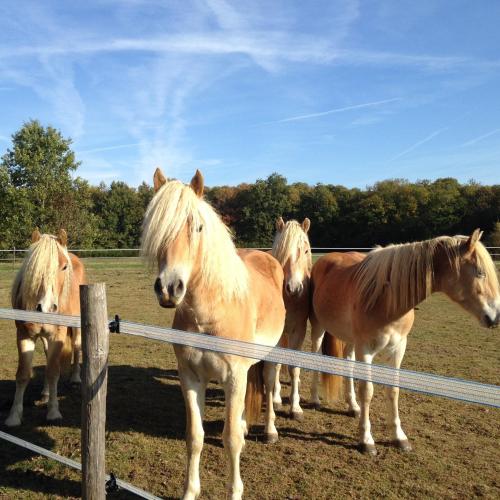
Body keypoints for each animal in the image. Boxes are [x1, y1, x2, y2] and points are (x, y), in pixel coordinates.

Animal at [5, 229, 86, 426]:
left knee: (77, 347)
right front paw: (14, 416)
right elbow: (23, 374)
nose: (47, 307)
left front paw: (53, 412)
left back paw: (75, 378)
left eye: (64, 267)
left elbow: (53, 371)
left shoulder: (57, 336)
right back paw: (46, 392)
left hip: (76, 324)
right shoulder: (24, 335)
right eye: (34, 268)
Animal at [143, 169, 288, 500]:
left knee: (269, 386)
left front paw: (234, 492)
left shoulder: (233, 376)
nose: (169, 288)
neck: (208, 315)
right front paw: (189, 491)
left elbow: (231, 439)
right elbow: (195, 437)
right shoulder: (190, 377)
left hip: (271, 357)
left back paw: (270, 431)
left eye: (197, 227)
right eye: (156, 229)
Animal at [310, 232, 498, 456]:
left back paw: (353, 407)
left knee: (348, 362)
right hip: (319, 327)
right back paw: (314, 400)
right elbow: (367, 392)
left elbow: (394, 390)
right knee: (314, 356)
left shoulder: (398, 348)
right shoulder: (366, 350)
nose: (495, 318)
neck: (386, 298)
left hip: (350, 340)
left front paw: (399, 437)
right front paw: (366, 440)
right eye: (480, 272)